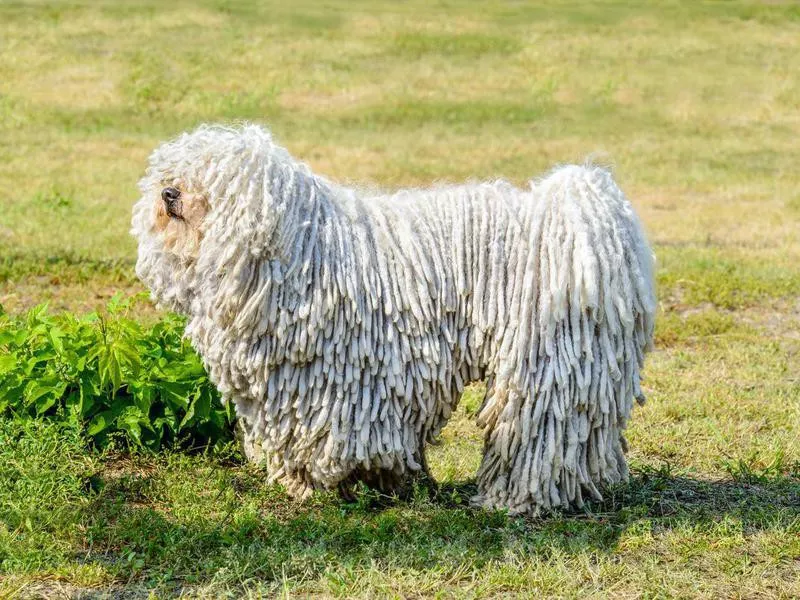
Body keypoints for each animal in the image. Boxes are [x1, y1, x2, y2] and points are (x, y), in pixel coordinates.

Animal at [131, 123, 656, 516]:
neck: (297, 251)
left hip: (544, 362)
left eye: (213, 179)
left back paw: (514, 500)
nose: (169, 192)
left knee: (537, 431)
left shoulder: (344, 382)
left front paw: (338, 485)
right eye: (173, 170)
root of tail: (587, 219)